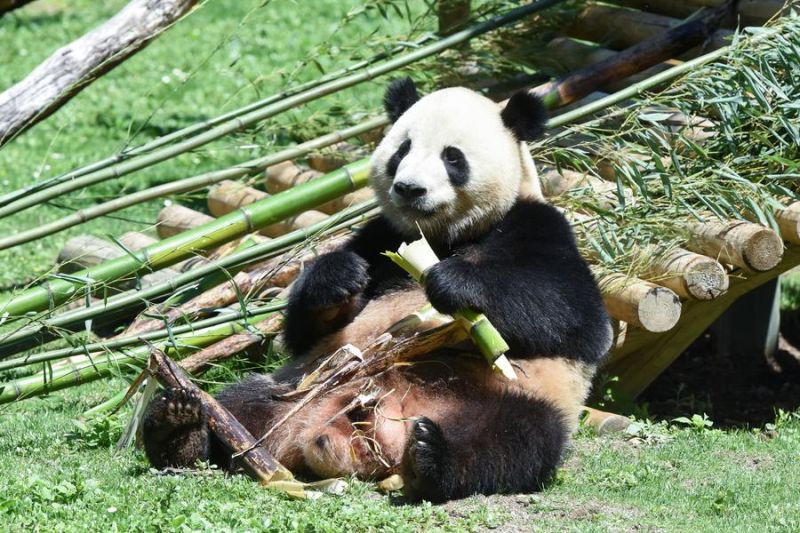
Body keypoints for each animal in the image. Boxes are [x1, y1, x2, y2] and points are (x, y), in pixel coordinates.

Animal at [141, 77, 608, 500]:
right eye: (402, 150)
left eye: (453, 157)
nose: (409, 188)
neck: (441, 237)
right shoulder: (381, 235)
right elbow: (303, 329)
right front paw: (340, 278)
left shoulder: (536, 225)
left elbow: (577, 317)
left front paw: (452, 282)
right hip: (304, 384)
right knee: (243, 403)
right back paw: (179, 427)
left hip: (513, 397)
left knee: (511, 441)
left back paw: (431, 456)